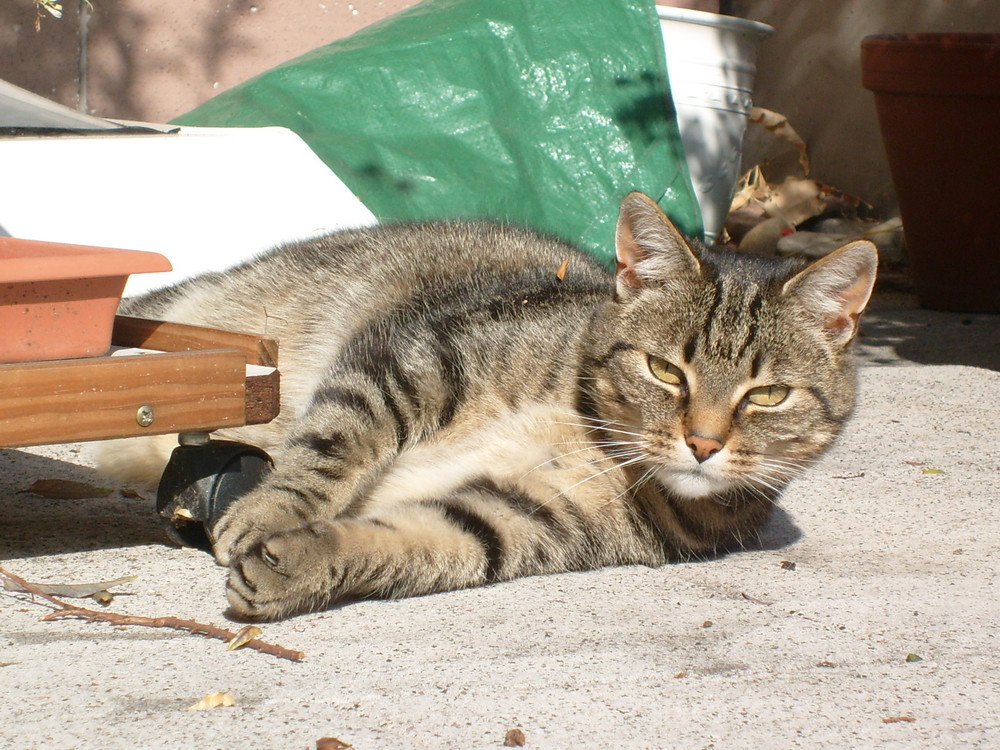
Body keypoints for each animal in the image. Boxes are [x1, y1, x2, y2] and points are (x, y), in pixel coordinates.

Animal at [105, 194, 880, 624]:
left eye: (767, 394)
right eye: (665, 370)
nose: (704, 443)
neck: (590, 432)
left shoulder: (519, 519)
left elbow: (405, 542)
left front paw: (297, 561)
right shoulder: (412, 358)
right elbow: (332, 444)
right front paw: (268, 513)